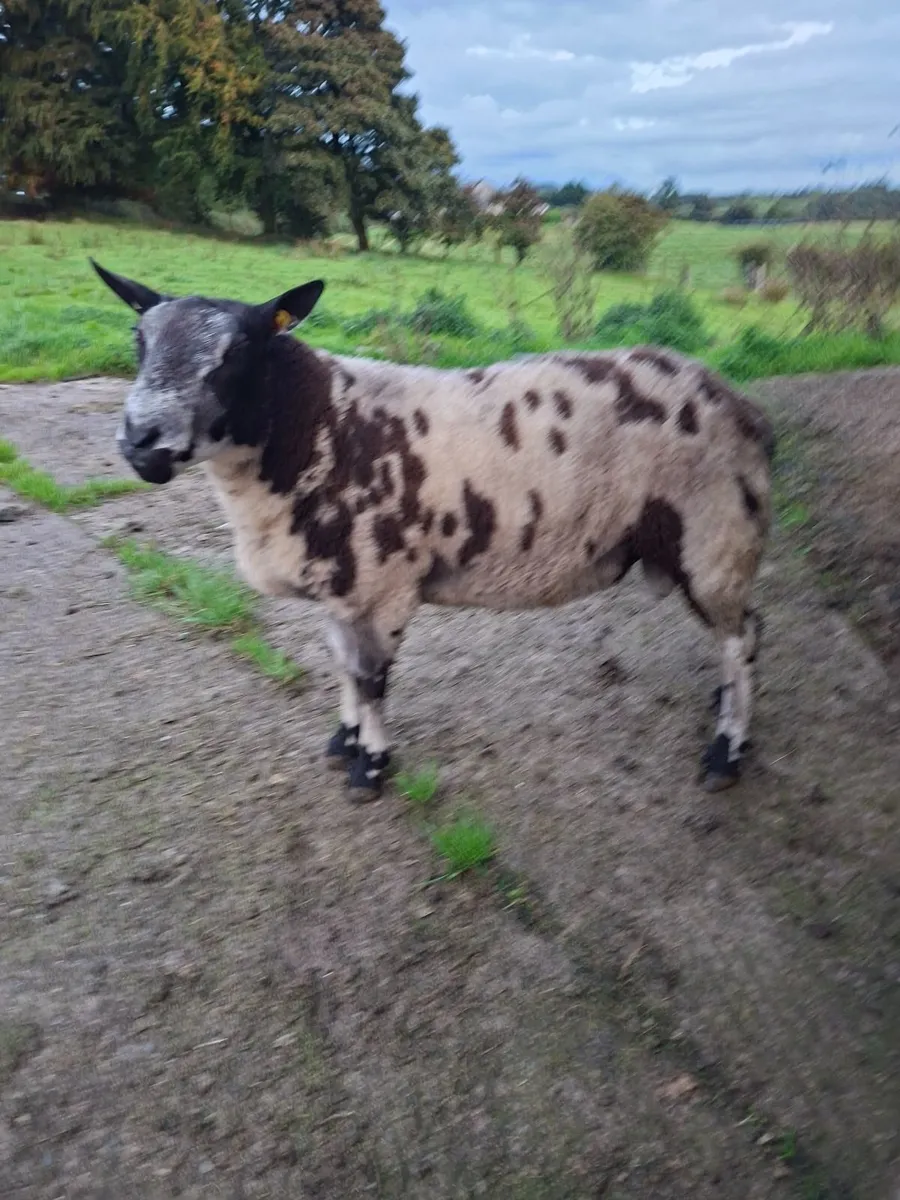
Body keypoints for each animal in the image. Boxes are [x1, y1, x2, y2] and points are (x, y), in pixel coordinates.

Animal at [91, 260, 776, 800]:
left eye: (235, 354)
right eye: (138, 338)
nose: (139, 442)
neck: (320, 427)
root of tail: (739, 403)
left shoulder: (385, 585)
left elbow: (372, 678)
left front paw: (369, 767)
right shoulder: (339, 587)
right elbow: (343, 665)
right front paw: (343, 741)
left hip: (717, 537)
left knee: (743, 637)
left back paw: (727, 751)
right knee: (739, 638)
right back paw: (723, 708)